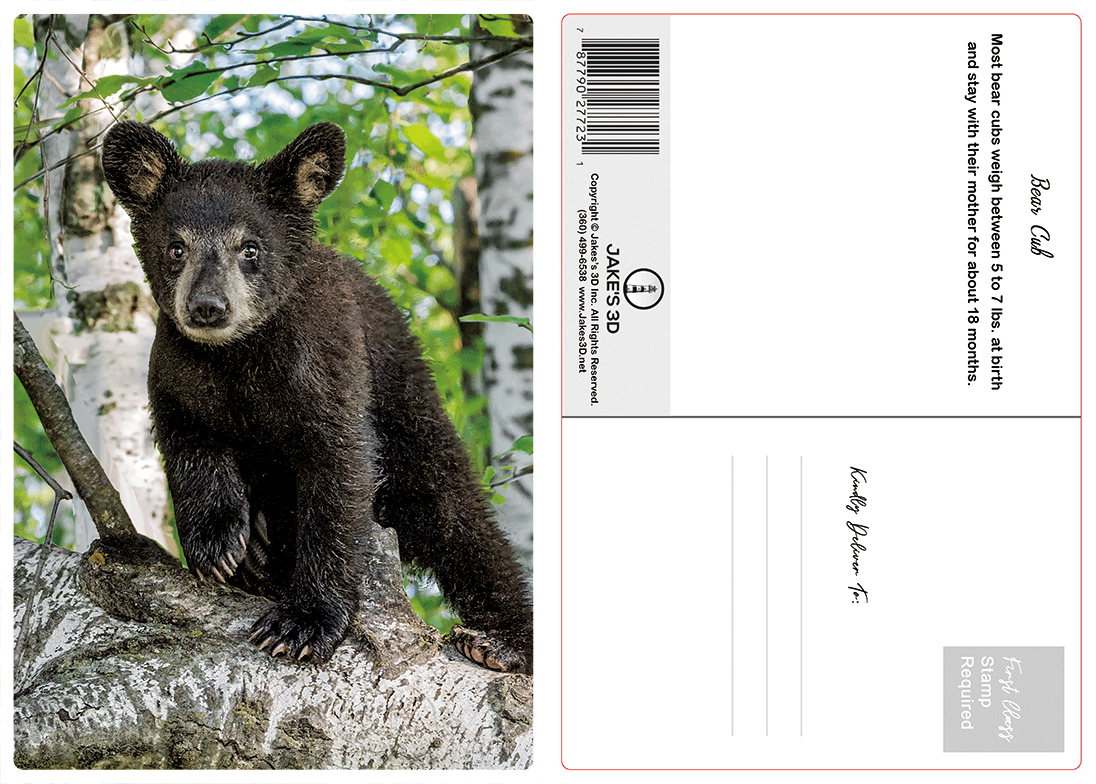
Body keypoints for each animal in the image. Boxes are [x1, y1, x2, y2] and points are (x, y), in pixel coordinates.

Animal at [99, 121, 532, 674]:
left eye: (250, 248)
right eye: (177, 247)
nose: (207, 307)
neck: (240, 356)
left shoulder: (326, 365)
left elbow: (338, 472)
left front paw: (303, 621)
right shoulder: (178, 370)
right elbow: (188, 439)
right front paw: (218, 542)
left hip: (410, 411)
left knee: (457, 517)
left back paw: (502, 640)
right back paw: (261, 552)